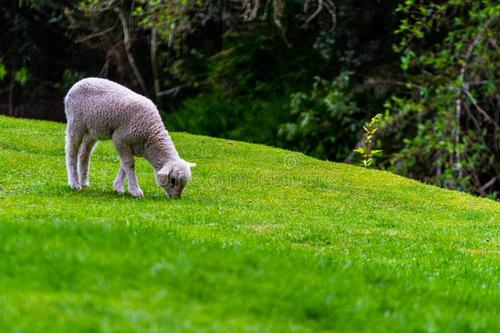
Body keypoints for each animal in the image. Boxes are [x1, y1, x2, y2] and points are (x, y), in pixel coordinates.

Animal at [63, 78, 195, 197]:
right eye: (173, 180)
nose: (176, 198)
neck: (151, 135)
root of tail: (77, 84)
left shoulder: (131, 145)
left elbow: (124, 166)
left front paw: (118, 188)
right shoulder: (120, 139)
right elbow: (130, 165)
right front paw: (136, 191)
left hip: (92, 131)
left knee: (84, 153)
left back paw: (84, 182)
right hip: (76, 123)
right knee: (71, 150)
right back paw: (74, 183)